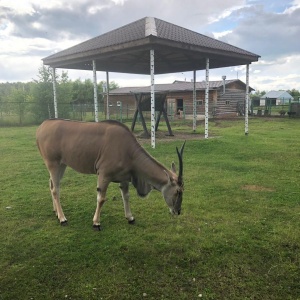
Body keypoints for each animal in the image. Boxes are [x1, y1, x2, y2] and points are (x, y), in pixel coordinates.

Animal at [35, 118, 185, 229]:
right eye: (178, 191)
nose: (177, 211)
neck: (128, 150)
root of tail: (42, 126)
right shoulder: (104, 175)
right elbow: (101, 199)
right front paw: (96, 222)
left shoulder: (124, 179)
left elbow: (126, 196)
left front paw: (130, 217)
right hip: (53, 164)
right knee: (56, 189)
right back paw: (62, 218)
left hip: (62, 165)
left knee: (51, 185)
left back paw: (56, 212)